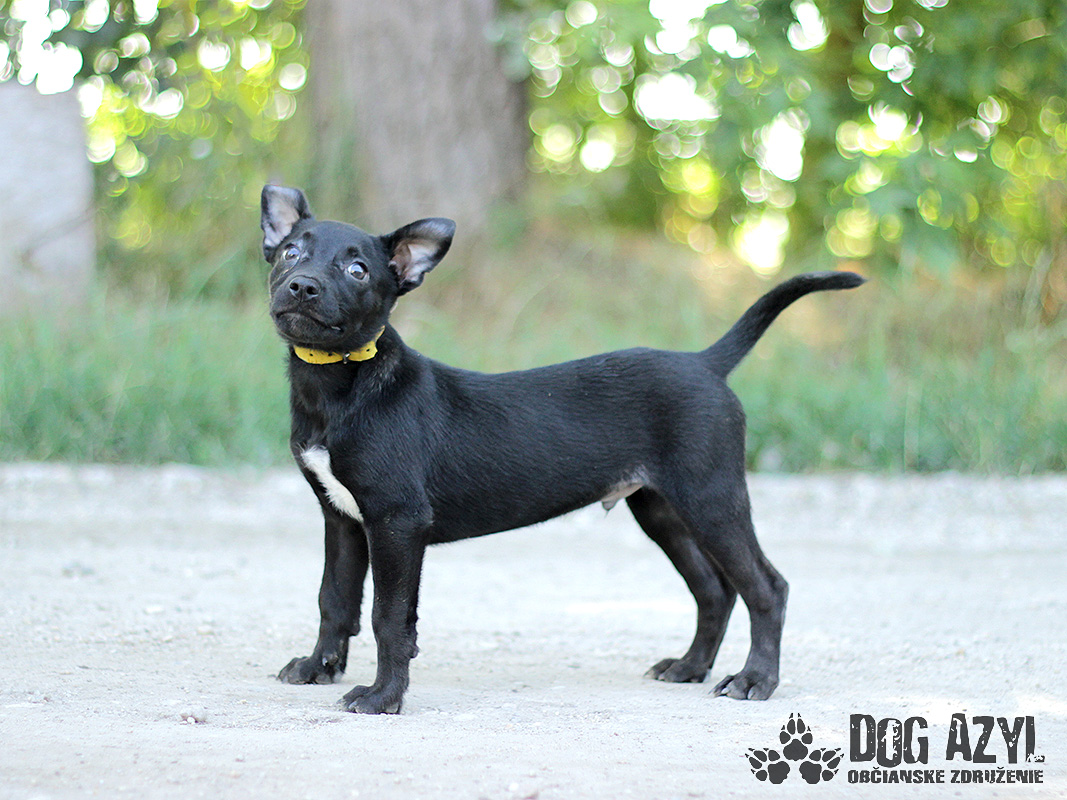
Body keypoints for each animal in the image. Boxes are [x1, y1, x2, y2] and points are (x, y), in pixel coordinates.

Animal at [261, 185, 864, 714]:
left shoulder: (397, 521)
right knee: (714, 590)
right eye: (290, 252)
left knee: (766, 587)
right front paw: (317, 668)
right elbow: (334, 600)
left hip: (712, 497)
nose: (302, 287)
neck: (341, 384)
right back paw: (691, 666)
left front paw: (382, 697)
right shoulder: (342, 519)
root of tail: (704, 362)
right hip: (661, 509)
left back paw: (755, 679)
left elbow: (390, 619)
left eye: (358, 270)